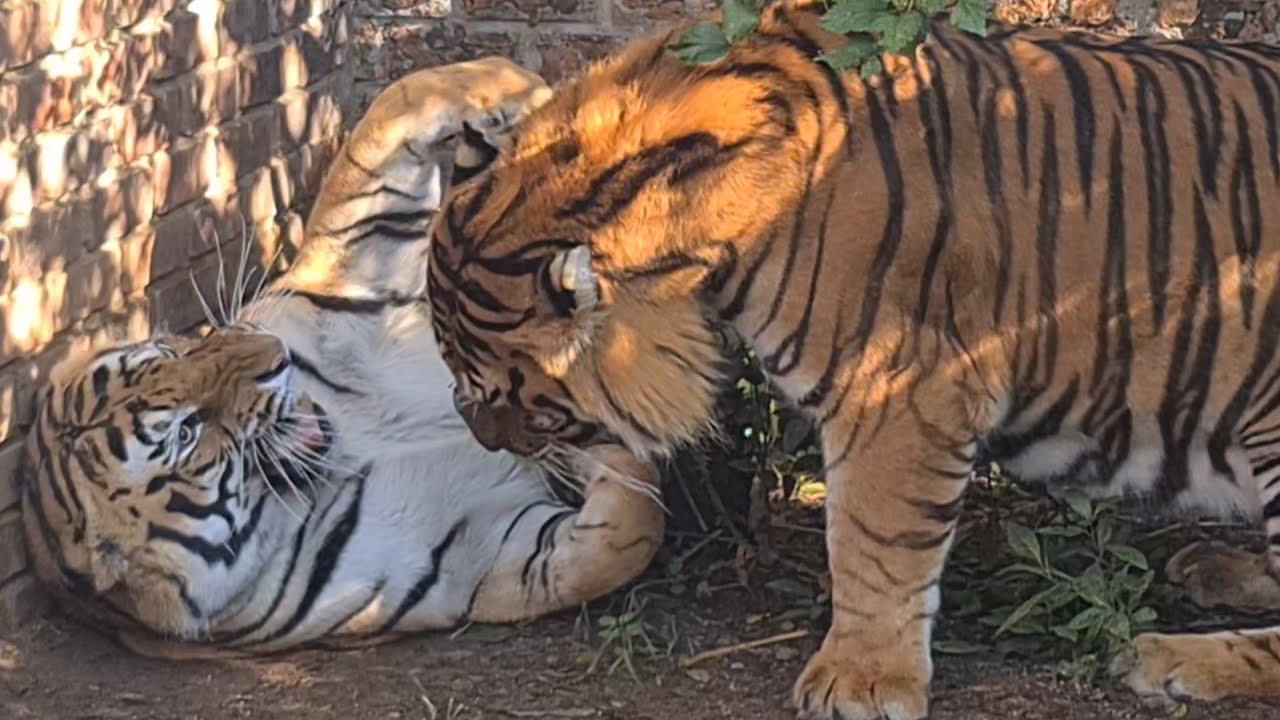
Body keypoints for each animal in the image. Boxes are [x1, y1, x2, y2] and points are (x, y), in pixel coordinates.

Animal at [19, 56, 664, 659]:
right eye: (185, 433)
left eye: (171, 347)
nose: (271, 355)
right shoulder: (474, 555)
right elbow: (619, 542)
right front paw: (606, 449)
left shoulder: (349, 264)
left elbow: (402, 102)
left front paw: (533, 97)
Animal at [424, 2, 1280, 717]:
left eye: (507, 392)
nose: (481, 438)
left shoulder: (897, 387)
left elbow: (874, 541)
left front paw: (859, 682)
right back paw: (1213, 568)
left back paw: (1167, 656)